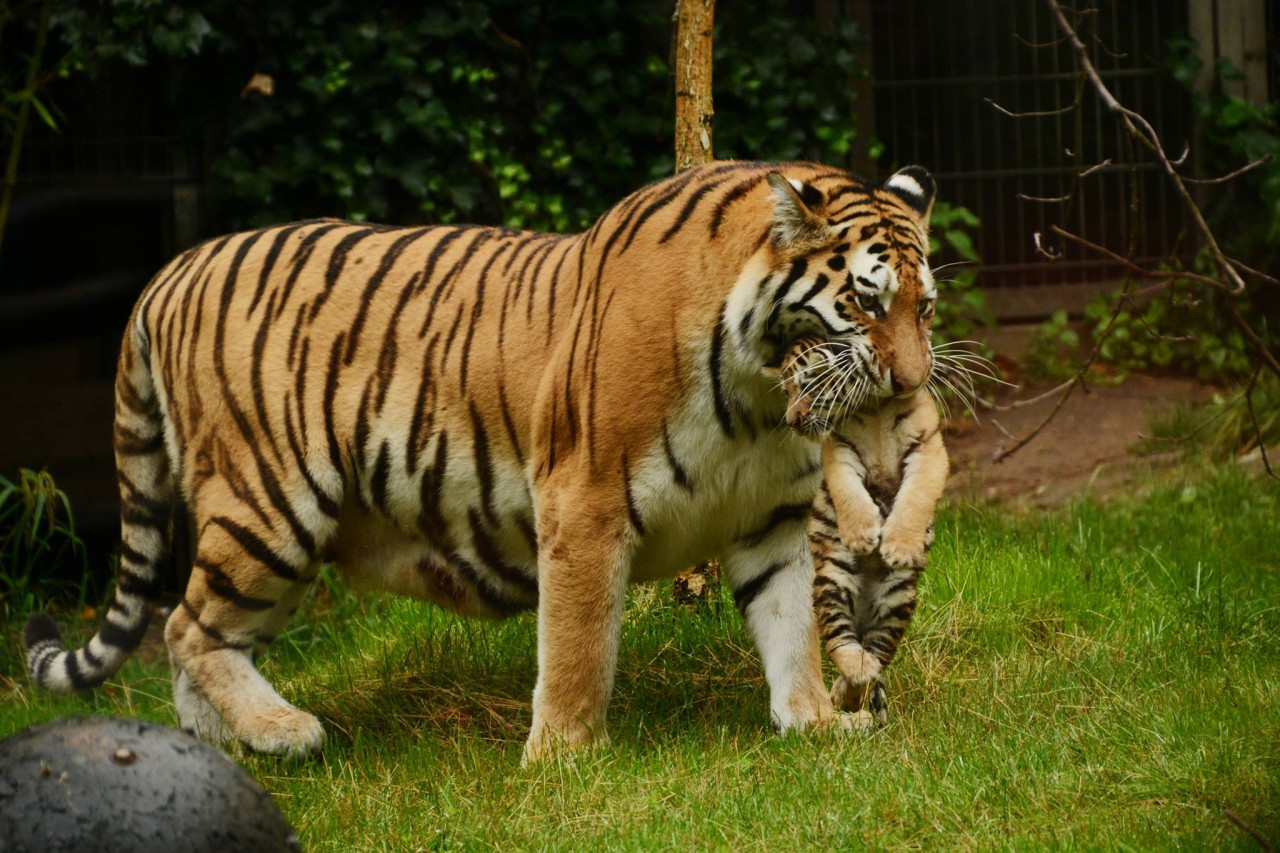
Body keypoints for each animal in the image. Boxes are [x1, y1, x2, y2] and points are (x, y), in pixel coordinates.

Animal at [24, 162, 936, 758]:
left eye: (924, 307)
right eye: (865, 301)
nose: (914, 382)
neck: (758, 396)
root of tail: (168, 272)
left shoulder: (771, 517)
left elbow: (791, 629)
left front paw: (815, 723)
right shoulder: (585, 501)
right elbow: (577, 644)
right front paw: (563, 757)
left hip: (282, 542)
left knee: (202, 639)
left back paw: (235, 751)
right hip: (268, 505)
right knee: (184, 627)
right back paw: (287, 730)